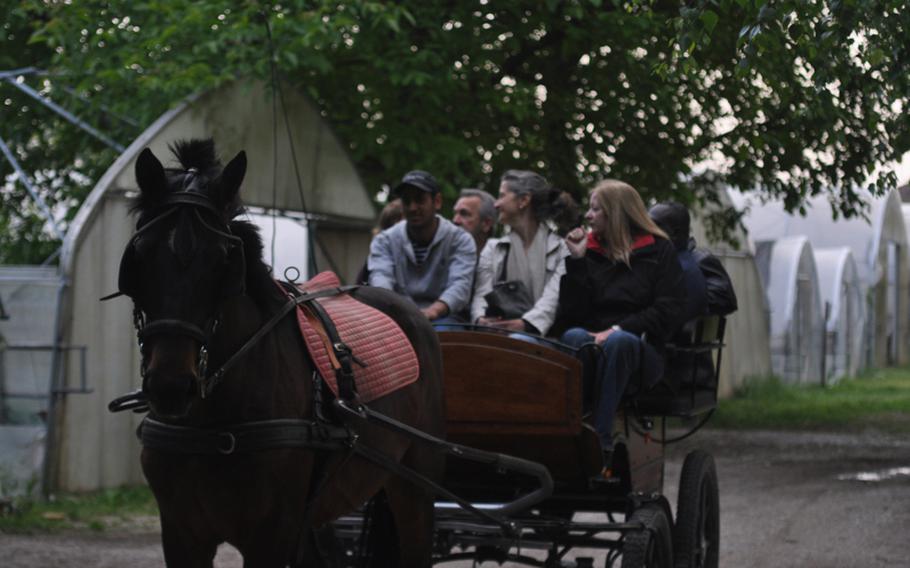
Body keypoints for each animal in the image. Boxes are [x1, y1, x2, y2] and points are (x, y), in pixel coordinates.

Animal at [119, 139, 448, 568]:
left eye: (224, 260)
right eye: (140, 255)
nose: (171, 386)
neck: (213, 423)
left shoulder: (270, 535)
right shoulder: (181, 534)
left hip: (415, 487)